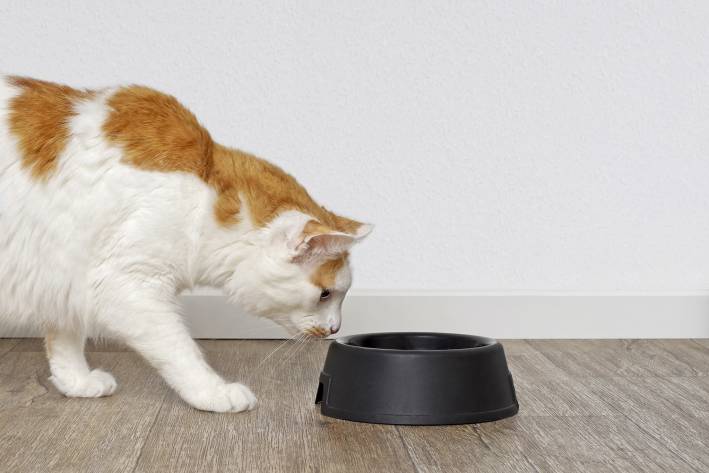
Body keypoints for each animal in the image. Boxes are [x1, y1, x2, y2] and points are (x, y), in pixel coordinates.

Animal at [0, 75, 374, 412]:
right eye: (325, 294)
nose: (335, 328)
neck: (204, 195)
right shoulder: (126, 285)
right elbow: (179, 348)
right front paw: (214, 392)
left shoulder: (62, 272)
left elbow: (64, 336)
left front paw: (76, 382)